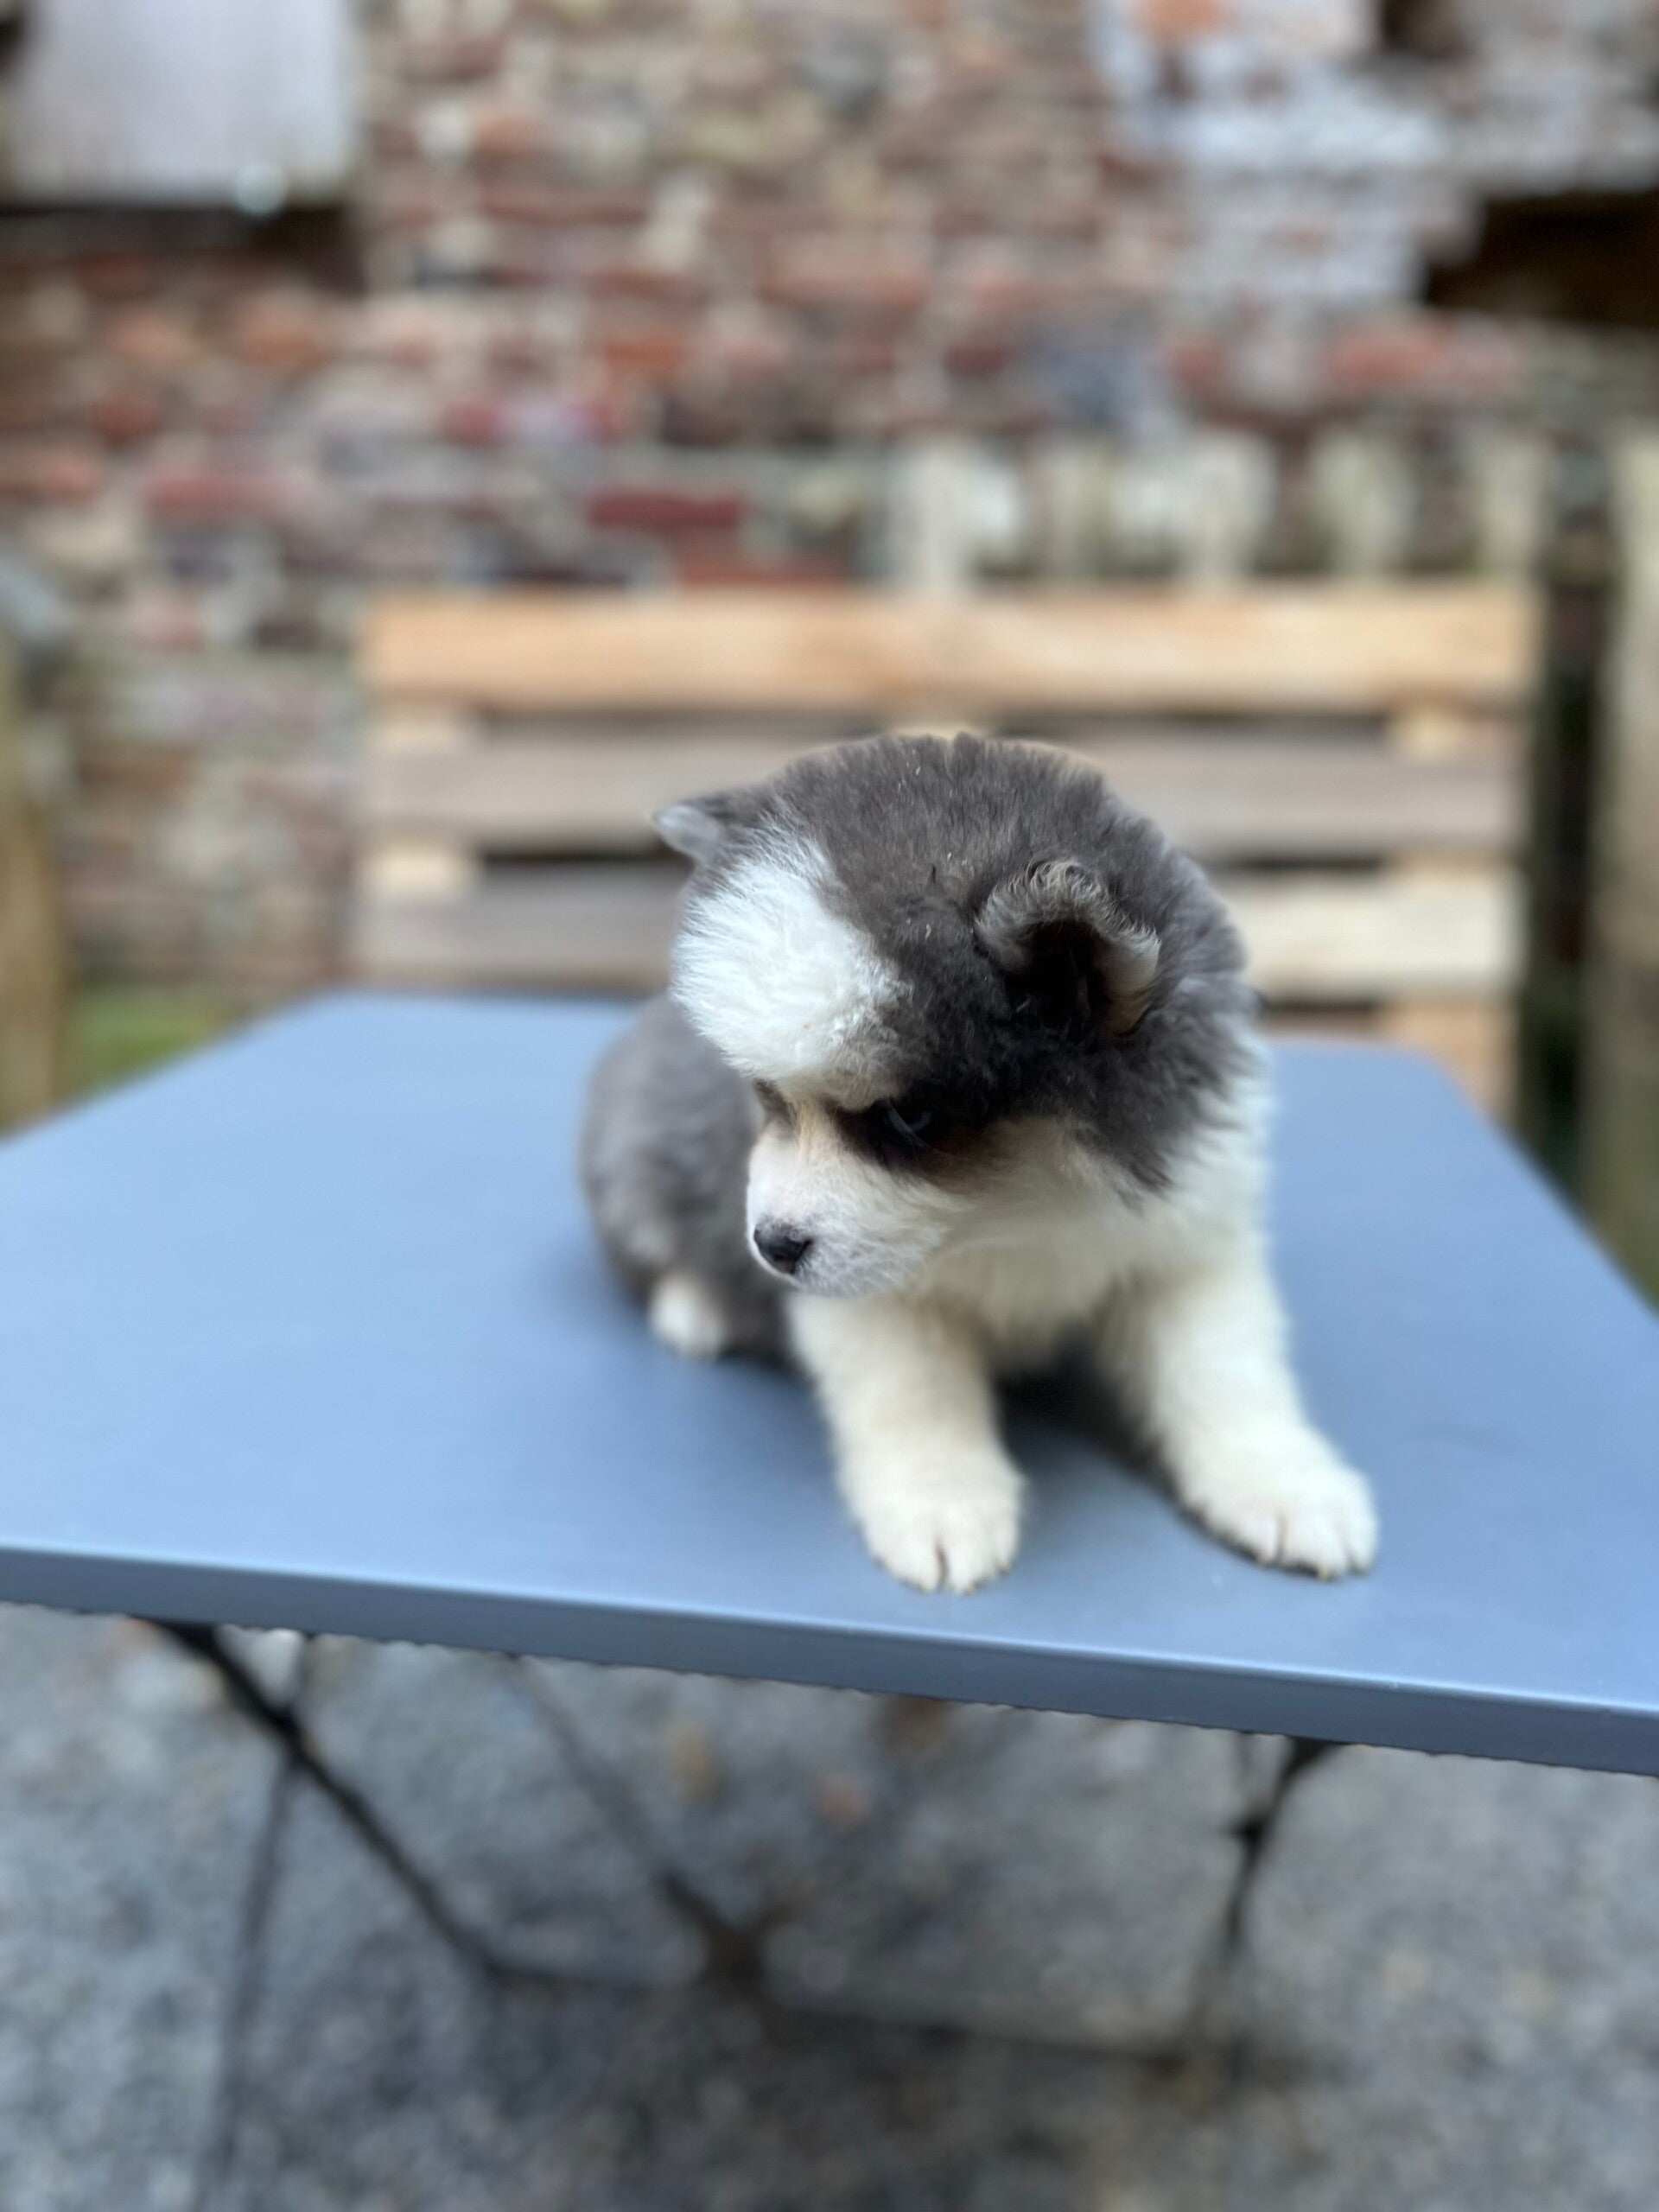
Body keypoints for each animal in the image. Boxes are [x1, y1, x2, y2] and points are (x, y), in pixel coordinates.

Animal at [581, 733, 1376, 1593]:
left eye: (910, 1116)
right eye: (764, 1093)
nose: (773, 1246)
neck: (1015, 1212)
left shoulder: (1187, 1242)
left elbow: (1225, 1373)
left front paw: (1281, 1483)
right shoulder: (876, 1300)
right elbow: (914, 1391)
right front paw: (939, 1500)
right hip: (634, 1142)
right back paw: (697, 1306)